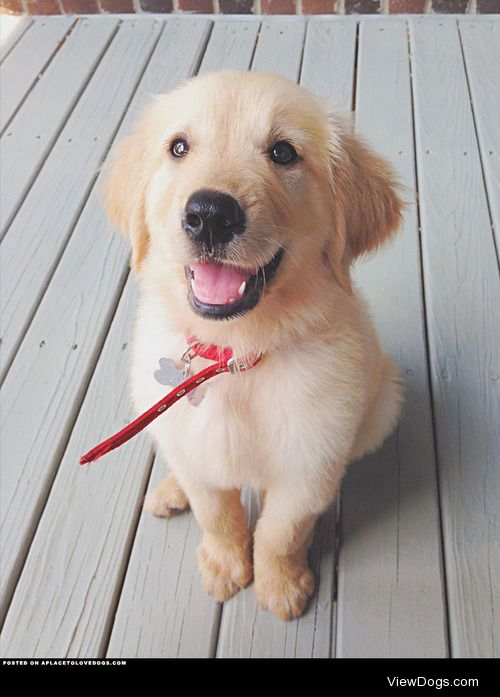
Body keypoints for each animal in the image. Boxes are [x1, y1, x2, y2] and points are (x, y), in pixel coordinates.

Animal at [104, 70, 402, 620]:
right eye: (178, 147)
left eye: (283, 152)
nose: (210, 214)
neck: (234, 359)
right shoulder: (196, 448)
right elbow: (217, 514)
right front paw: (225, 565)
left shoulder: (307, 467)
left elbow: (280, 533)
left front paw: (280, 584)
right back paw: (172, 488)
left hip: (384, 403)